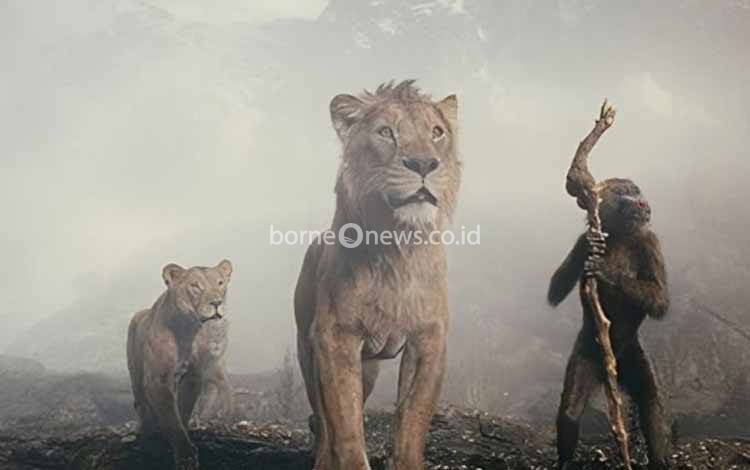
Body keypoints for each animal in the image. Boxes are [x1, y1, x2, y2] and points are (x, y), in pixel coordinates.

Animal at [127, 259, 234, 470]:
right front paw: (185, 456)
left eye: (220, 283)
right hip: (135, 375)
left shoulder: (193, 377)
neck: (186, 331)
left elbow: (183, 412)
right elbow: (170, 417)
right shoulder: (158, 380)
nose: (217, 303)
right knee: (141, 404)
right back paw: (146, 434)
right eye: (195, 286)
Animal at [294, 80, 461, 470]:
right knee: (322, 418)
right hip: (307, 351)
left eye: (437, 132)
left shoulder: (429, 339)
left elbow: (413, 418)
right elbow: (345, 423)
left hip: (368, 367)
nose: (424, 163)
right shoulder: (335, 338)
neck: (398, 246)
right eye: (386, 132)